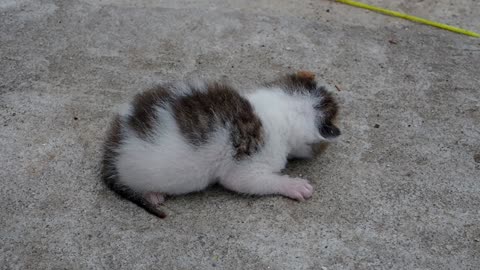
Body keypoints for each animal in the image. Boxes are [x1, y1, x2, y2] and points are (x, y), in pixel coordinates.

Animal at [101, 70, 342, 218]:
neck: (282, 108)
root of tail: (112, 148)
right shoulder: (248, 166)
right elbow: (254, 181)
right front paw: (293, 185)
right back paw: (152, 194)